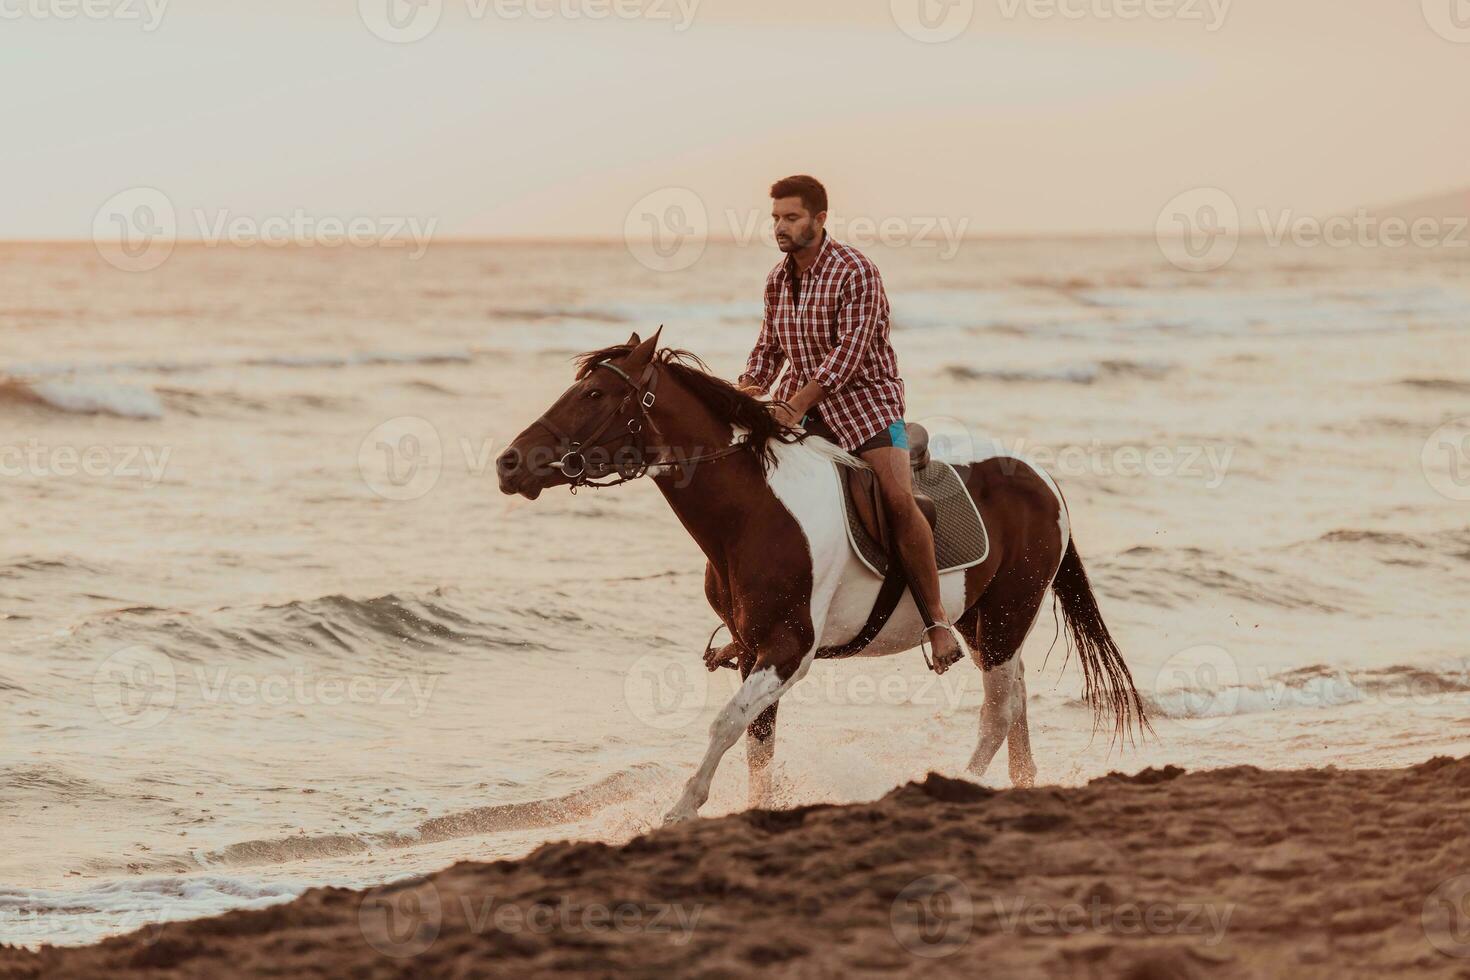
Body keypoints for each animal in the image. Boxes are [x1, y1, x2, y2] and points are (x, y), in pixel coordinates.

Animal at [499, 333, 1152, 822]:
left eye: (594, 392)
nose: (509, 463)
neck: (753, 510)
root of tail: (1042, 477)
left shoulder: (789, 650)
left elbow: (726, 723)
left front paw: (682, 808)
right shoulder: (752, 649)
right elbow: (758, 743)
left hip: (1004, 620)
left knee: (998, 712)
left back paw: (958, 782)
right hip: (982, 623)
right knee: (1014, 706)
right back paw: (1018, 785)